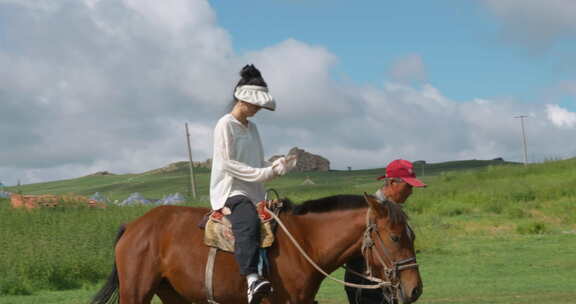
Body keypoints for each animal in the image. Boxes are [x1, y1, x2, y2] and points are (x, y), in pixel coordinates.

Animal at [91, 195, 424, 304]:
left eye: (412, 235)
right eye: (395, 238)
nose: (415, 289)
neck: (304, 242)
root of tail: (133, 227)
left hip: (173, 294)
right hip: (136, 293)